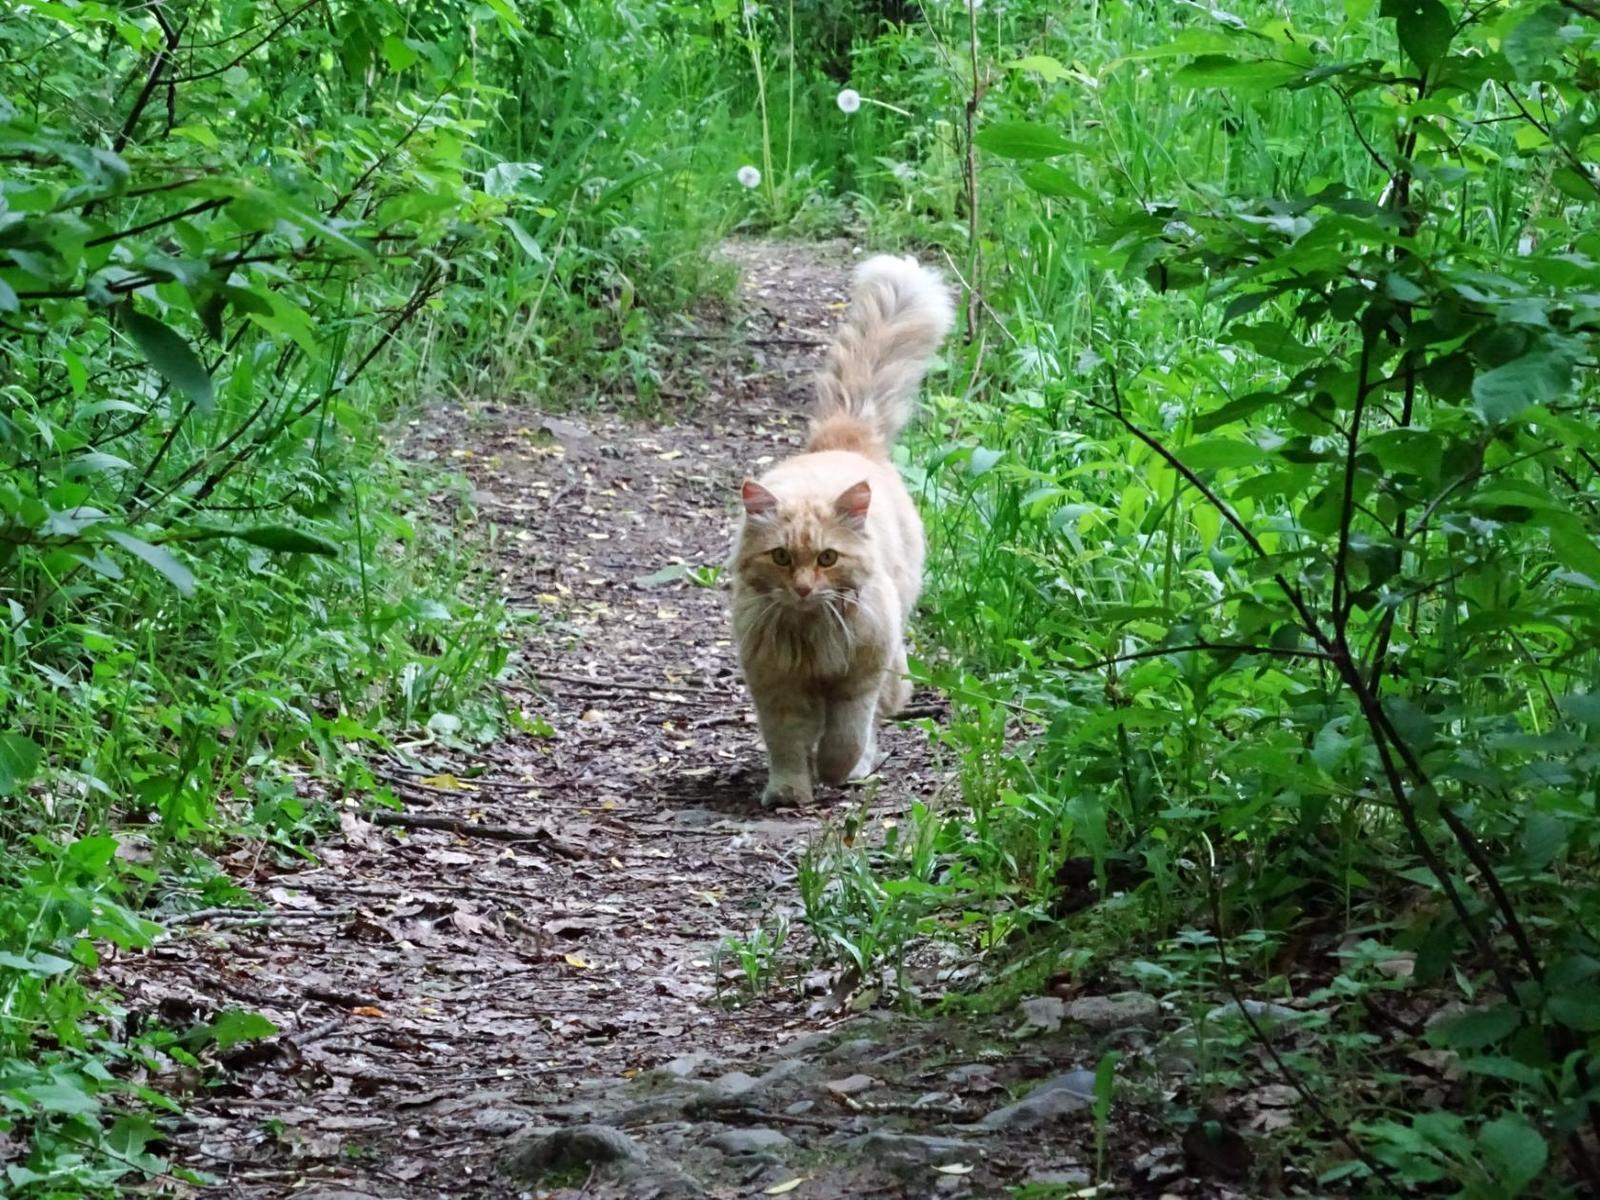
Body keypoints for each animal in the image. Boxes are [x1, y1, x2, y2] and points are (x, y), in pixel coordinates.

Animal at [732, 259, 947, 812]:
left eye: (827, 558)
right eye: (782, 558)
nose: (805, 588)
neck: (811, 636)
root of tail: (844, 440)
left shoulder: (859, 677)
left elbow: (847, 736)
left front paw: (836, 772)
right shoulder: (777, 686)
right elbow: (787, 743)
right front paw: (789, 791)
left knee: (876, 719)